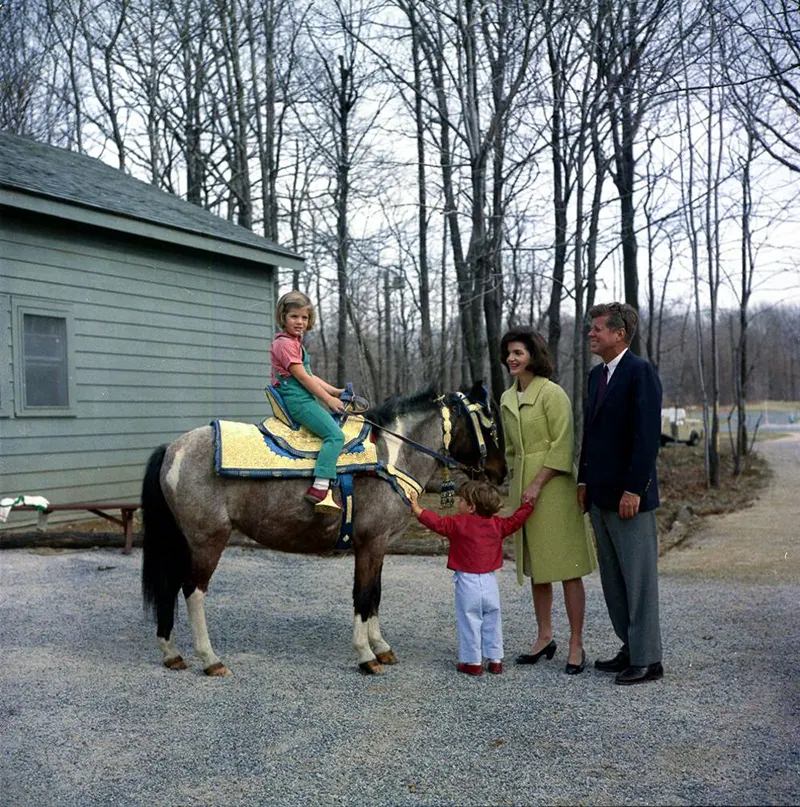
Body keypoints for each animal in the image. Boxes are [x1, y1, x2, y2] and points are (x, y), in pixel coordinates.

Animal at [140, 384, 504, 676]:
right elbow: (363, 595)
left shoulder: (380, 545)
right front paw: (366, 655)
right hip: (207, 541)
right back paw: (210, 659)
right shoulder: (369, 543)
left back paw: (172, 653)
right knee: (193, 590)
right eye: (488, 424)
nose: (500, 472)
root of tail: (172, 449)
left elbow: (375, 593)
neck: (389, 458)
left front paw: (381, 647)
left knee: (170, 586)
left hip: (182, 541)